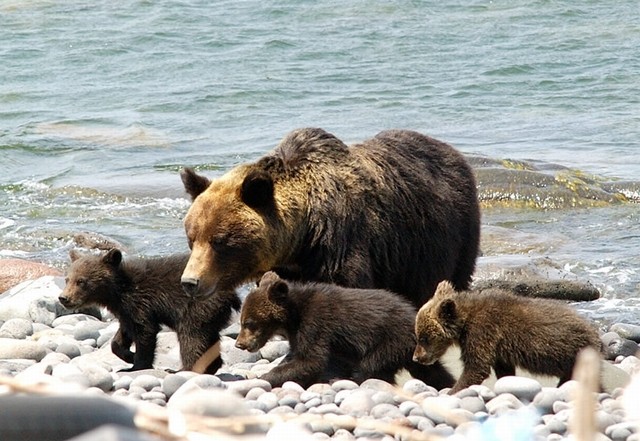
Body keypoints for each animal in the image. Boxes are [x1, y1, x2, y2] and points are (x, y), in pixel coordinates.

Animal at [180, 127, 480, 306]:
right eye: (192, 238)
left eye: (220, 241)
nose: (190, 282)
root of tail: (452, 151)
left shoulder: (341, 242)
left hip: (446, 234)